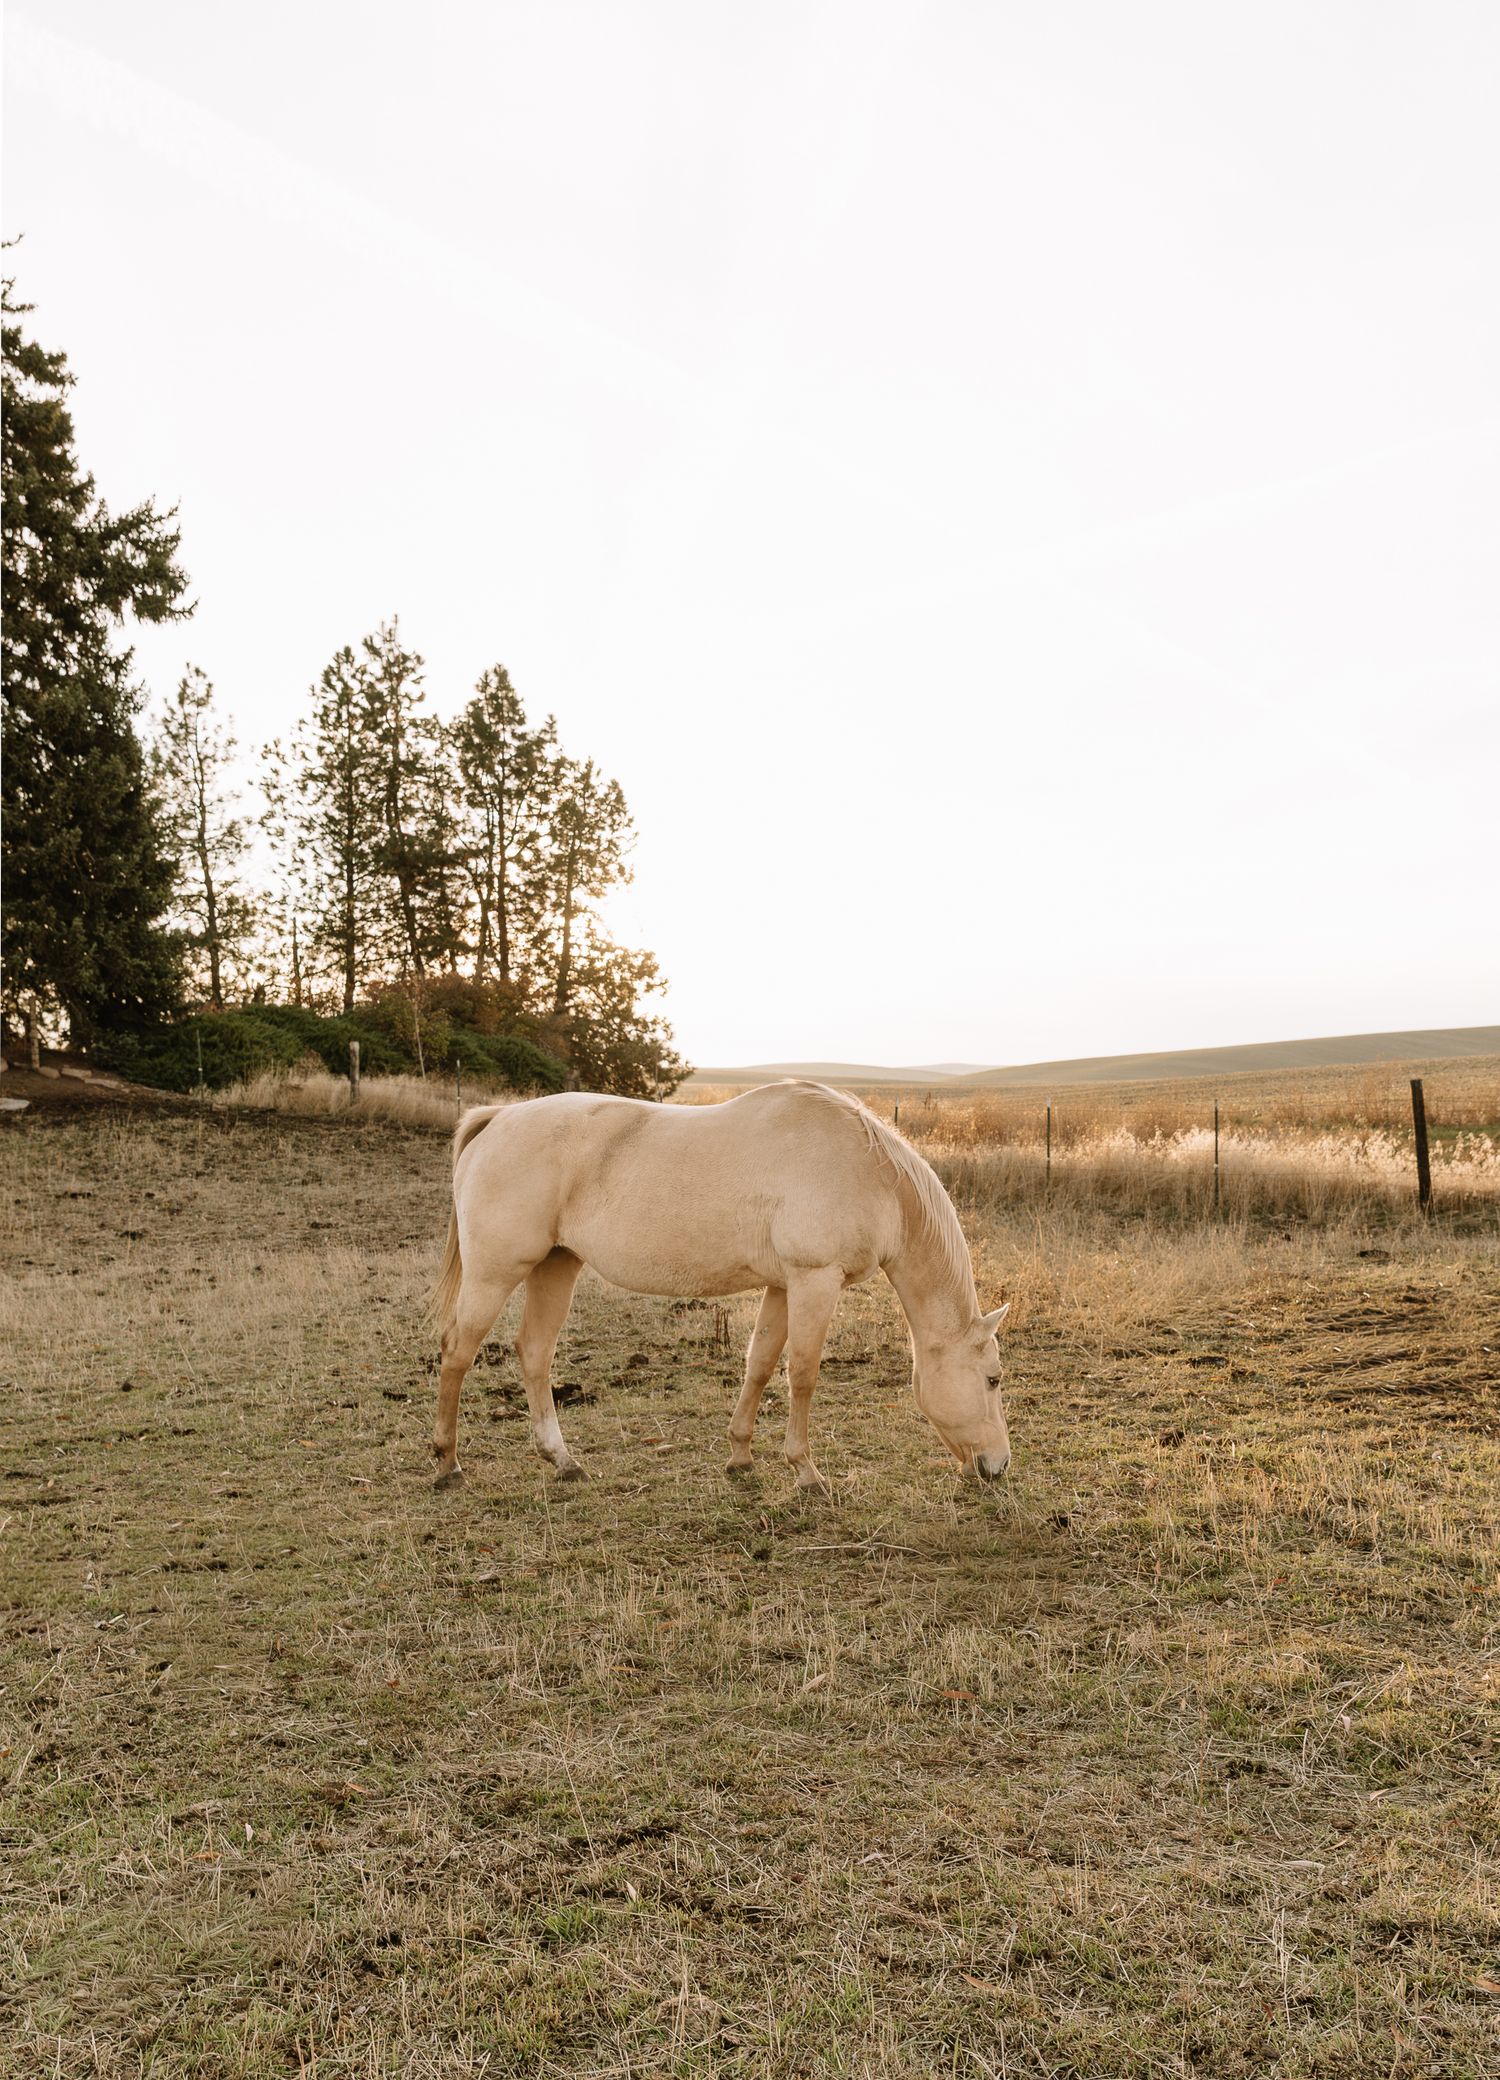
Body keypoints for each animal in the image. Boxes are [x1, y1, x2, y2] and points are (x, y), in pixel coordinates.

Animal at [426, 1079, 1011, 1491]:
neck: (873, 1175)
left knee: (534, 1353)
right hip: (496, 1273)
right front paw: (805, 1471)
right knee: (457, 1351)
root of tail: (499, 1118)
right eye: (993, 1379)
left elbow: (760, 1364)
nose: (998, 1466)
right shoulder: (815, 1280)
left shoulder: (783, 1286)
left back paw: (563, 1461)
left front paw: (741, 1456)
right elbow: (803, 1374)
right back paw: (448, 1463)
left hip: (555, 1267)